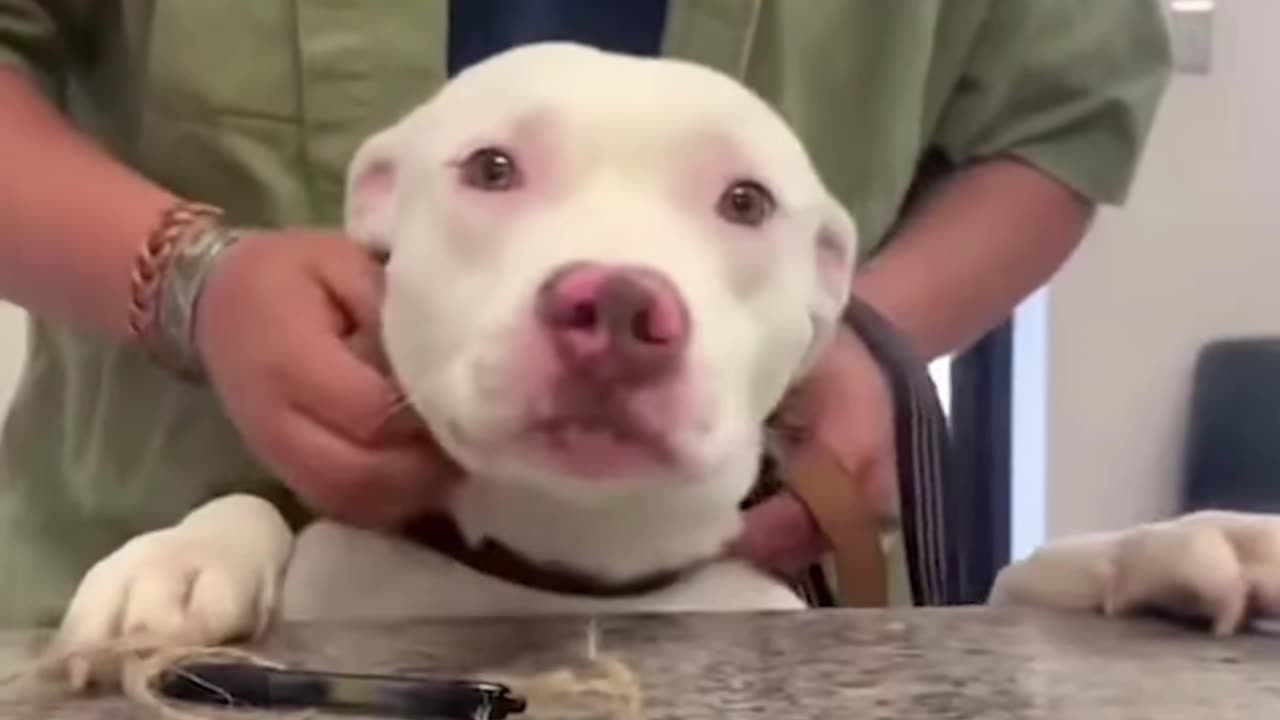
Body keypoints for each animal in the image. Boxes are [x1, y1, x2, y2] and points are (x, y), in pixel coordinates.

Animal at [45, 43, 1280, 681]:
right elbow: (257, 513)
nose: (620, 304)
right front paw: (180, 561)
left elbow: (1019, 578)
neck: (575, 565)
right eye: (490, 168)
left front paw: (1188, 545)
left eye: (746, 202)